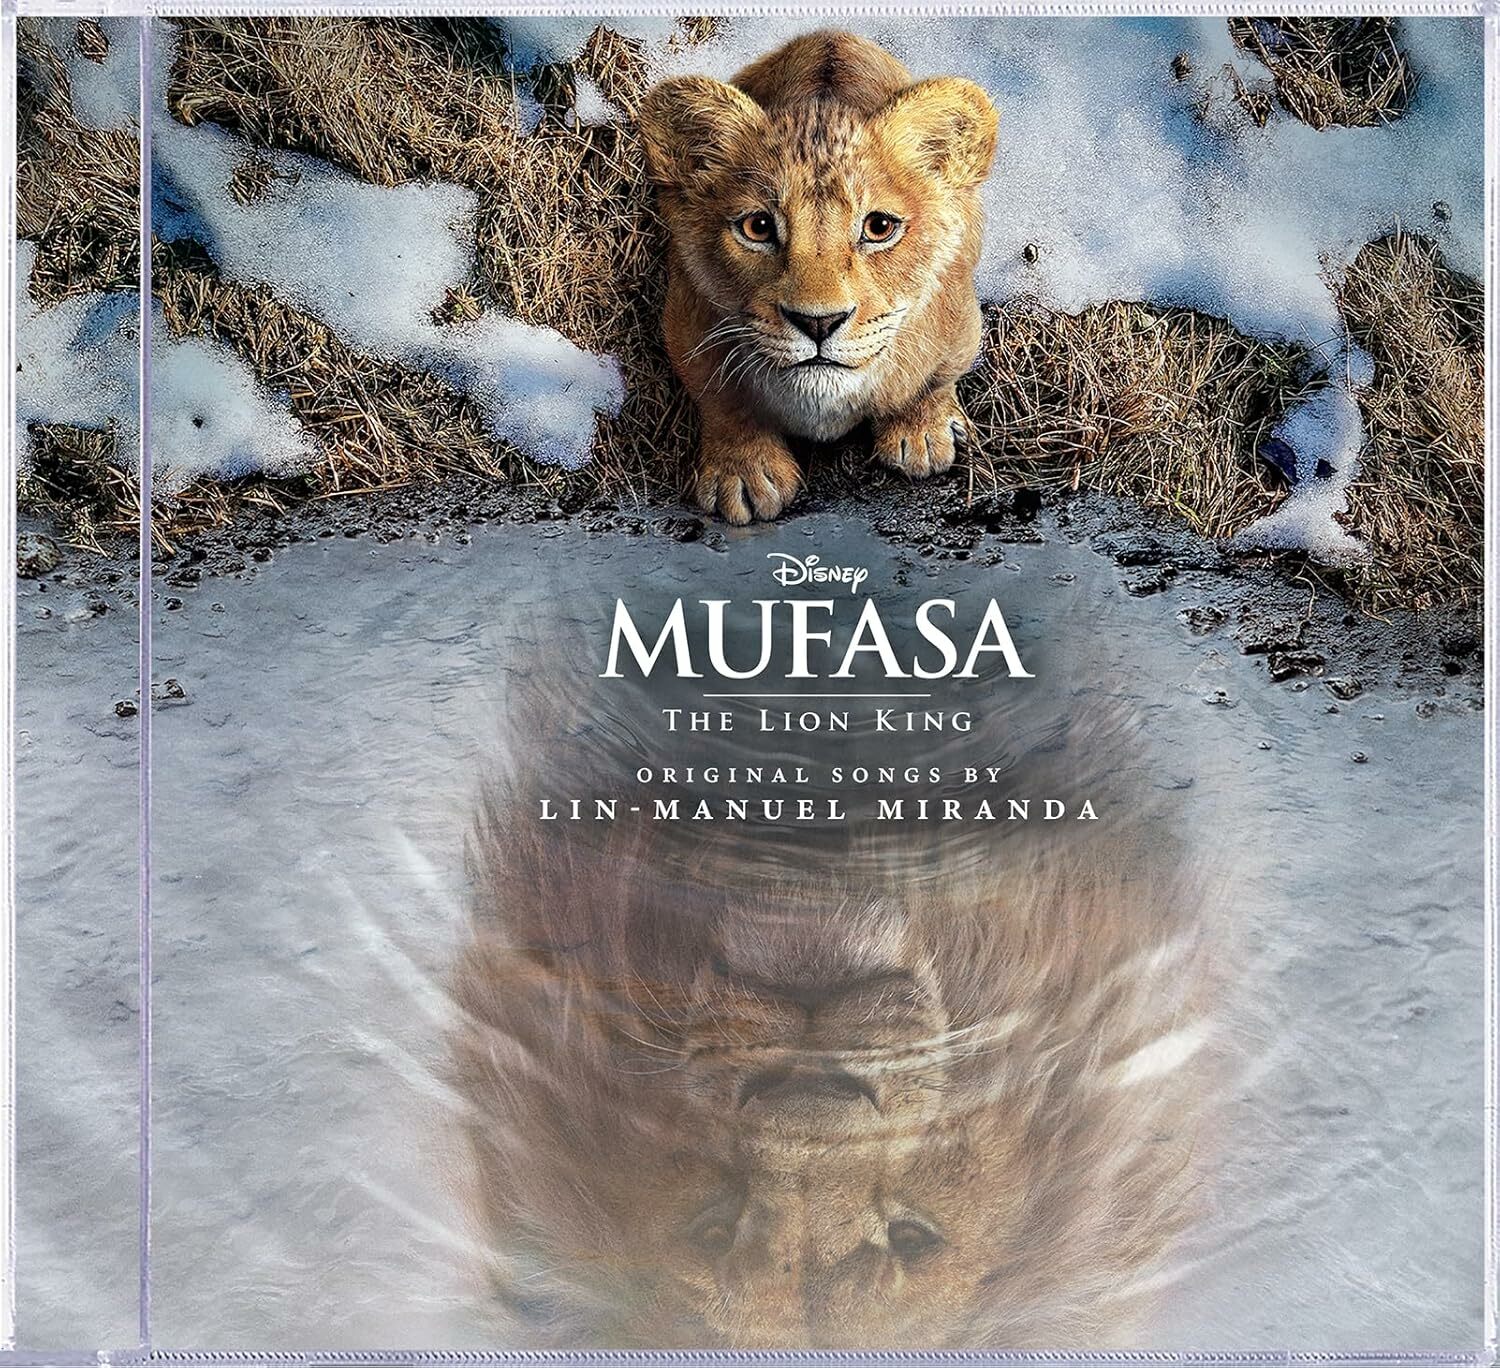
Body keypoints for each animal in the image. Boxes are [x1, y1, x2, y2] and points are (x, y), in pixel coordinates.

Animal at [637, 31, 999, 525]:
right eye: (758, 227)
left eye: (879, 227)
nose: (818, 323)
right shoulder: (685, 321)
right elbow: (721, 398)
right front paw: (743, 473)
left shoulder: (960, 320)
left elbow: (934, 379)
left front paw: (922, 432)